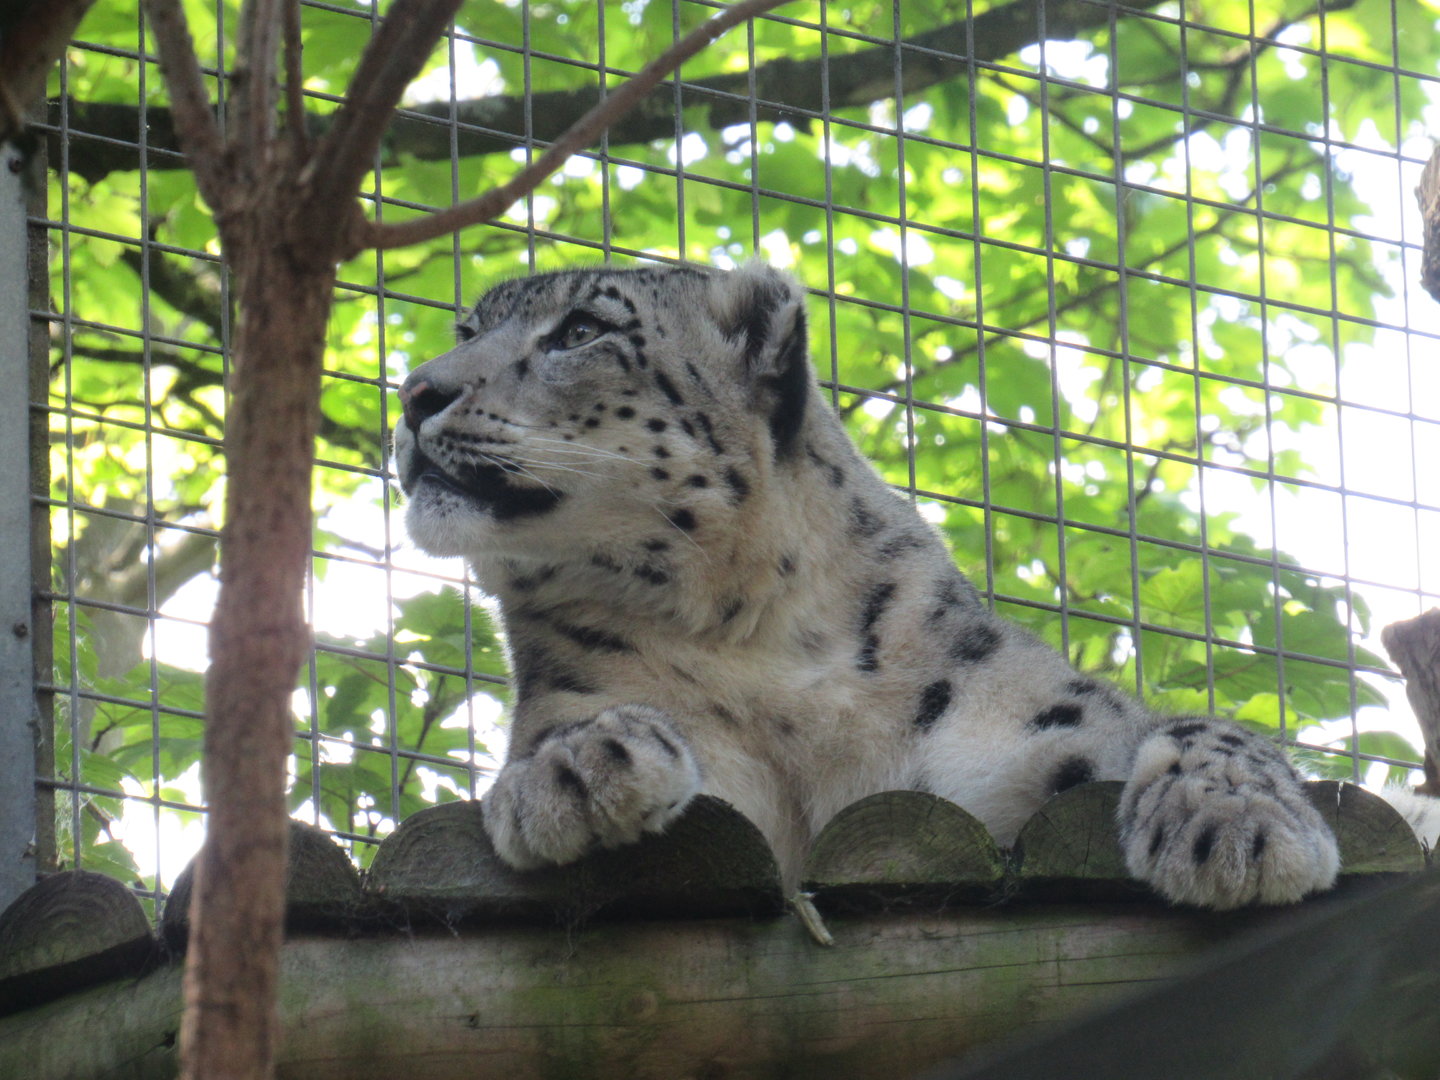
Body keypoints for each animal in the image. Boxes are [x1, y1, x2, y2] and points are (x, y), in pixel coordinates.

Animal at [393, 260, 1341, 910]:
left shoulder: (1047, 734)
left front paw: (1238, 830)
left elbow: (1198, 728)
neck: (752, 639)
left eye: (583, 330)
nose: (412, 392)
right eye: (467, 327)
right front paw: (578, 769)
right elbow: (565, 732)